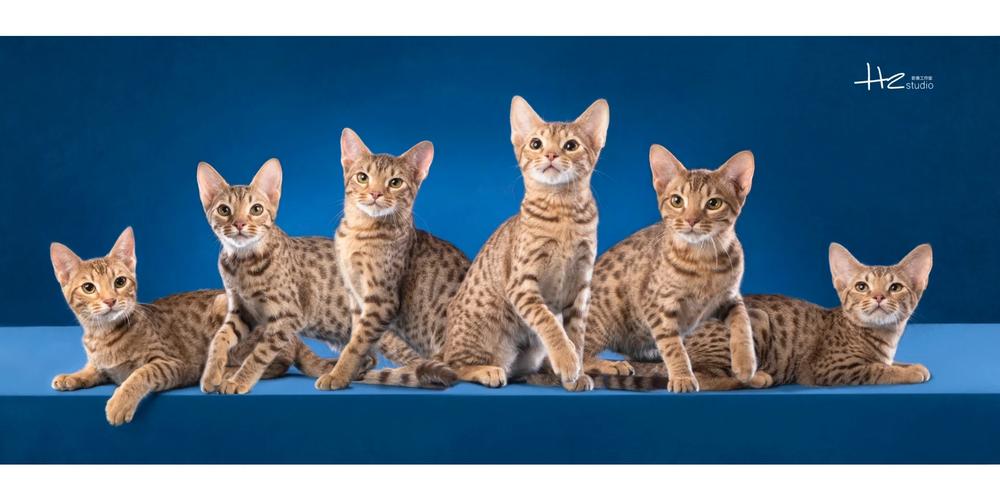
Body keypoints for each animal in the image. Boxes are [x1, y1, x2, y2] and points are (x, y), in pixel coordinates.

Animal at [49, 227, 332, 425]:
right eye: (89, 288)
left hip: (230, 309)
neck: (102, 336)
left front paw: (120, 402)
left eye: (120, 282)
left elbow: (140, 374)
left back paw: (225, 373)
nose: (110, 300)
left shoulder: (172, 363)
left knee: (275, 362)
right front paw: (72, 376)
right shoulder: (102, 365)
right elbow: (92, 369)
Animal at [313, 129, 470, 390]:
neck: (360, 230)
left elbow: (356, 343)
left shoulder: (382, 300)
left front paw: (338, 374)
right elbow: (356, 337)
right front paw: (354, 370)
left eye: (395, 183)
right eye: (362, 177)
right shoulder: (355, 297)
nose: (375, 193)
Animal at [435, 96, 609, 392]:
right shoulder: (522, 283)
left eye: (571, 145)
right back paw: (486, 370)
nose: (550, 155)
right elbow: (549, 321)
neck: (563, 211)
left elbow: (576, 335)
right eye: (536, 143)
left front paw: (575, 370)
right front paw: (566, 359)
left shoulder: (581, 287)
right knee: (455, 365)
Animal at [582, 145, 763, 392]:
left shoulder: (729, 298)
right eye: (677, 201)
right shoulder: (658, 306)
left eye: (713, 203)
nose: (691, 220)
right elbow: (673, 347)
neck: (703, 259)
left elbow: (743, 323)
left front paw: (746, 363)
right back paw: (611, 365)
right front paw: (682, 377)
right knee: (573, 358)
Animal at [649, 243, 933, 390]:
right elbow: (876, 369)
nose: (879, 297)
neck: (882, 335)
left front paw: (909, 365)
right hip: (755, 322)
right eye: (862, 286)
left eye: (895, 287)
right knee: (703, 377)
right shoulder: (828, 368)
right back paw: (757, 378)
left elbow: (889, 363)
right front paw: (907, 372)